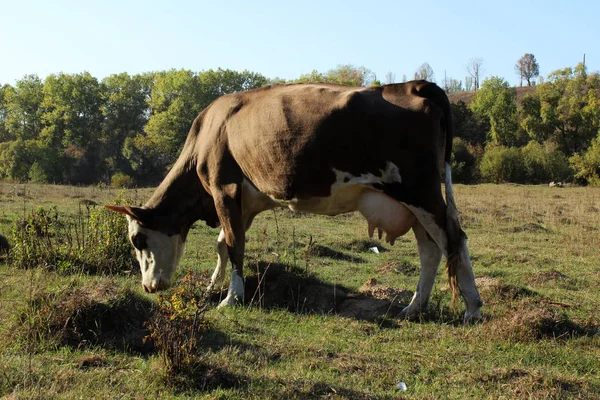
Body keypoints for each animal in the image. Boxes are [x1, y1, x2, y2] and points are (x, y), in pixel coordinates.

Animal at [106, 80, 482, 322]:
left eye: (137, 239)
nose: (148, 286)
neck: (208, 131)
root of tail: (413, 84)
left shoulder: (224, 188)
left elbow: (234, 245)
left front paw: (231, 298)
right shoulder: (244, 202)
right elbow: (223, 245)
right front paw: (213, 285)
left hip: (422, 192)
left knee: (455, 240)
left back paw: (473, 308)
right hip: (411, 202)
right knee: (431, 250)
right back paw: (413, 308)